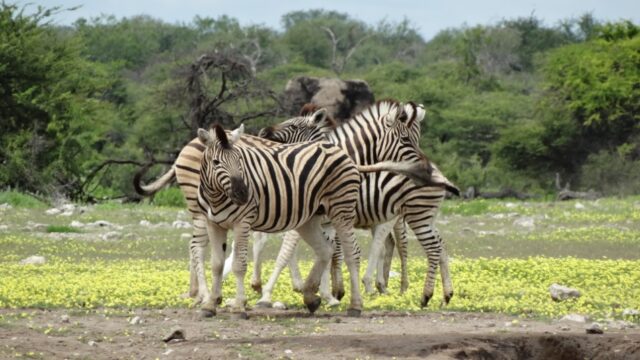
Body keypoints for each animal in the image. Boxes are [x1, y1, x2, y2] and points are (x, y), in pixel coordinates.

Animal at [196, 124, 430, 316]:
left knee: (352, 253)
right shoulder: (213, 224)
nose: (244, 194)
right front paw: (210, 305)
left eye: (240, 161)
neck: (217, 196)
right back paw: (311, 297)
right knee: (326, 249)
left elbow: (238, 264)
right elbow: (216, 264)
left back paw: (355, 305)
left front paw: (239, 307)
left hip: (342, 211)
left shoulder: (242, 223)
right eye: (216, 162)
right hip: (309, 219)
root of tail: (343, 153)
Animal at [258, 100, 458, 308]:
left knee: (420, 246)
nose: (263, 132)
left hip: (414, 215)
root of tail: (439, 174)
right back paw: (442, 294)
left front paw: (270, 295)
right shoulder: (325, 221)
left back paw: (419, 294)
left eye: (294, 126)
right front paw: (329, 293)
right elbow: (329, 253)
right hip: (423, 217)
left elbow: (292, 252)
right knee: (437, 245)